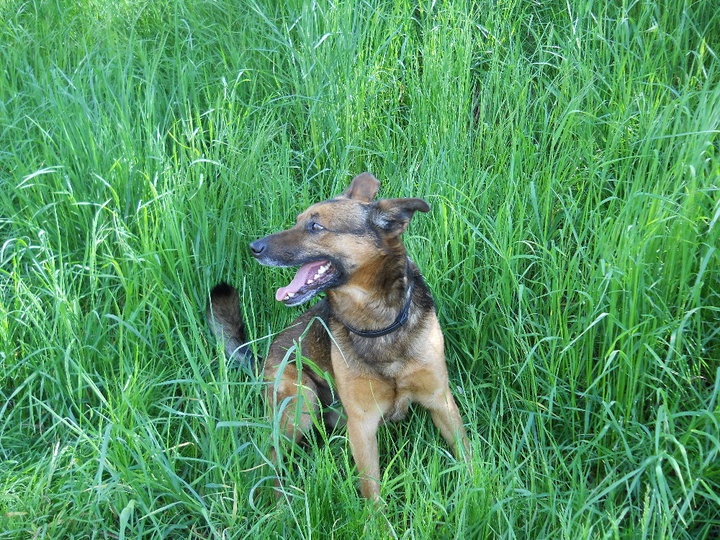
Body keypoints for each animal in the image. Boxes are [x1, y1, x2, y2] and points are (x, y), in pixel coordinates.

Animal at [207, 173, 472, 502]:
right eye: (298, 221)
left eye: (316, 227)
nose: (254, 247)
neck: (379, 324)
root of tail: (262, 358)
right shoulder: (363, 424)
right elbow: (373, 494)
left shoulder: (441, 402)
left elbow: (468, 457)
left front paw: (481, 490)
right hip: (301, 400)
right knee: (272, 459)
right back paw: (281, 503)